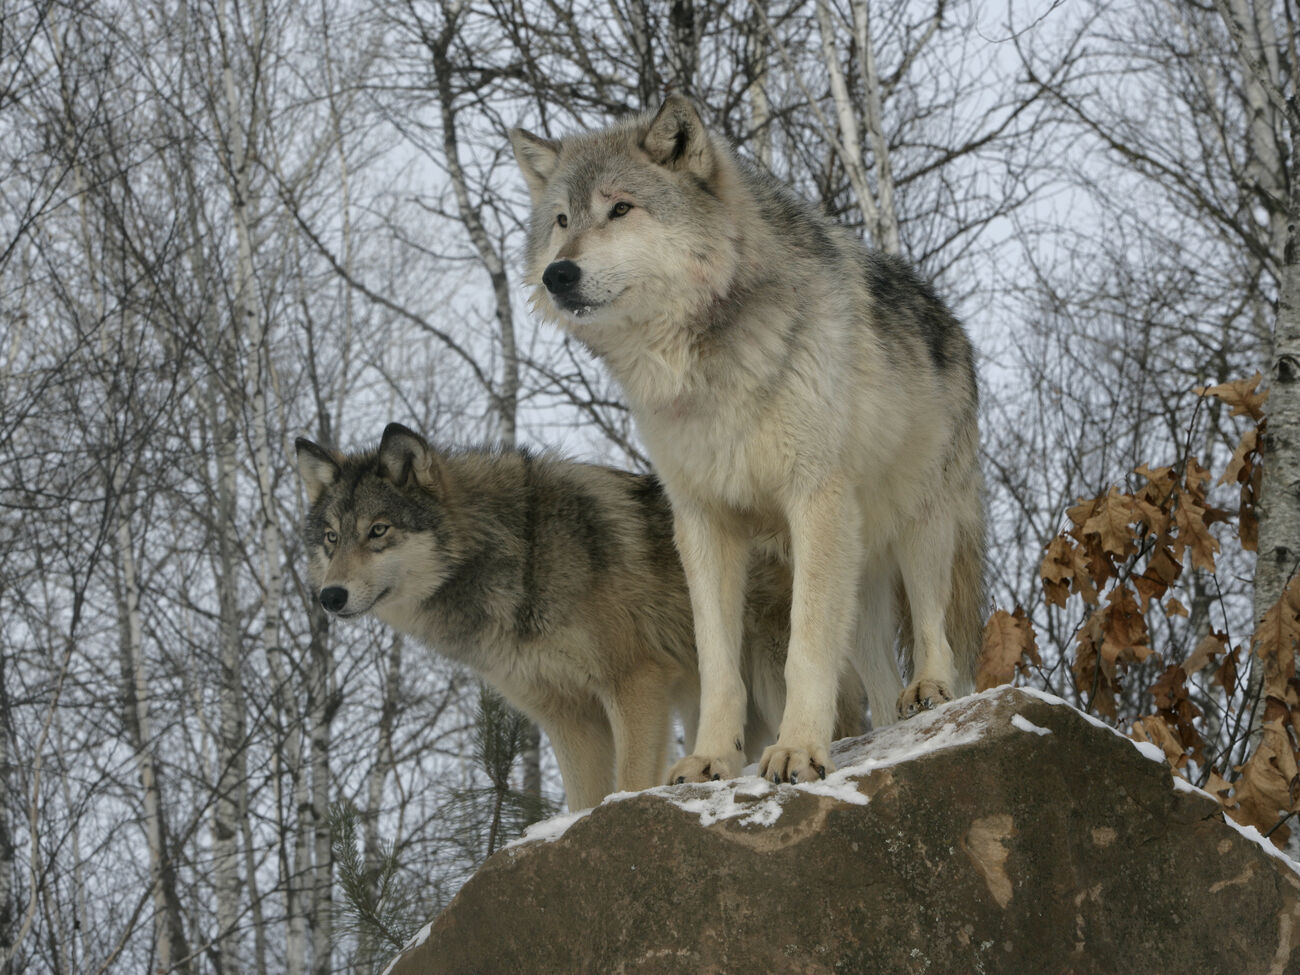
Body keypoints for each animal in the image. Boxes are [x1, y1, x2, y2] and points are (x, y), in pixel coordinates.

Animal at [295, 423, 863, 811]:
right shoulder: (567, 716)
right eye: (331, 538)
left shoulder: (635, 683)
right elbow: (582, 802)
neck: (521, 552)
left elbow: (630, 781)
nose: (330, 596)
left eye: (378, 530)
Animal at [512, 97, 977, 785]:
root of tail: (949, 316)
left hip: (919, 525)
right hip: (859, 566)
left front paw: (798, 750)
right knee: (874, 668)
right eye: (562, 220)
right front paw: (710, 757)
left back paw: (930, 691)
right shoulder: (702, 522)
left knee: (931, 624)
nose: (556, 273)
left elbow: (806, 646)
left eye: (620, 208)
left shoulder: (815, 501)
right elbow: (717, 665)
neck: (703, 366)